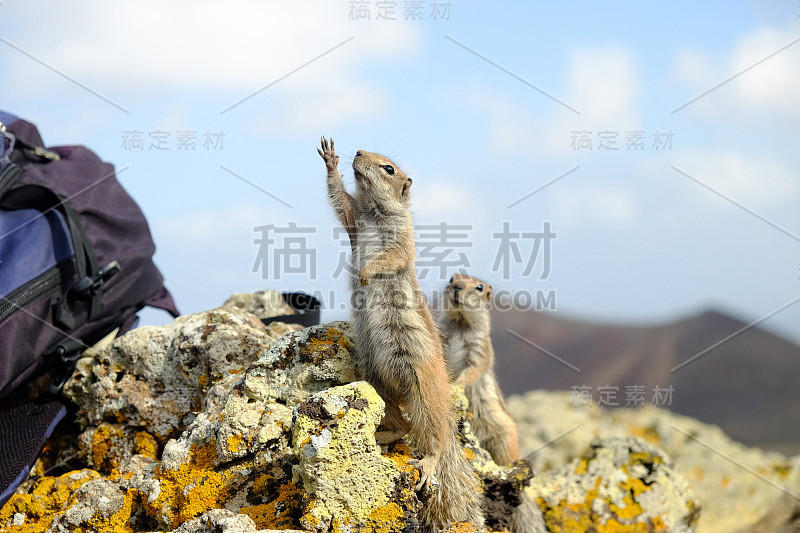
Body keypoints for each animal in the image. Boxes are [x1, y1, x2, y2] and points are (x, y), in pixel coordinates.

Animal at [318, 139, 482, 528]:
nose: (357, 152)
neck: (376, 211)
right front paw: (331, 161)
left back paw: (429, 462)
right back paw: (383, 433)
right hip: (378, 380)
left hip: (423, 387)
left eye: (389, 169)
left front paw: (366, 274)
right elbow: (340, 199)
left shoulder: (402, 239)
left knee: (434, 436)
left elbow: (390, 258)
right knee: (403, 425)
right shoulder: (354, 219)